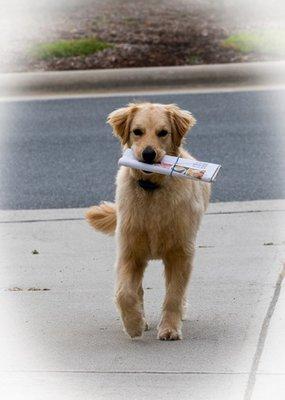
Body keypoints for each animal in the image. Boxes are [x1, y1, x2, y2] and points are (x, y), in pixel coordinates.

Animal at [85, 103, 210, 340]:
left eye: (163, 133)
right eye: (137, 131)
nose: (149, 154)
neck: (151, 190)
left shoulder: (181, 252)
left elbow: (173, 295)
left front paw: (169, 328)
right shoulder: (129, 251)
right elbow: (125, 293)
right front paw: (133, 324)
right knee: (138, 290)